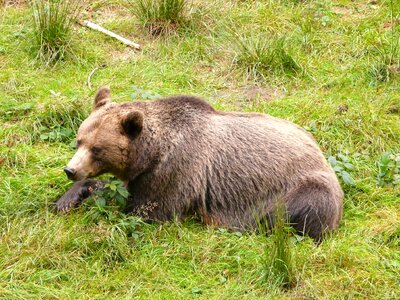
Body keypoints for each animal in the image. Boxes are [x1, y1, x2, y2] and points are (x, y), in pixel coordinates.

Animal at [55, 86, 344, 239]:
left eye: (97, 148)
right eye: (79, 140)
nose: (71, 170)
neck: (151, 153)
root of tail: (320, 152)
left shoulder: (175, 171)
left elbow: (145, 210)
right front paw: (66, 199)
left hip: (301, 188)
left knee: (297, 213)